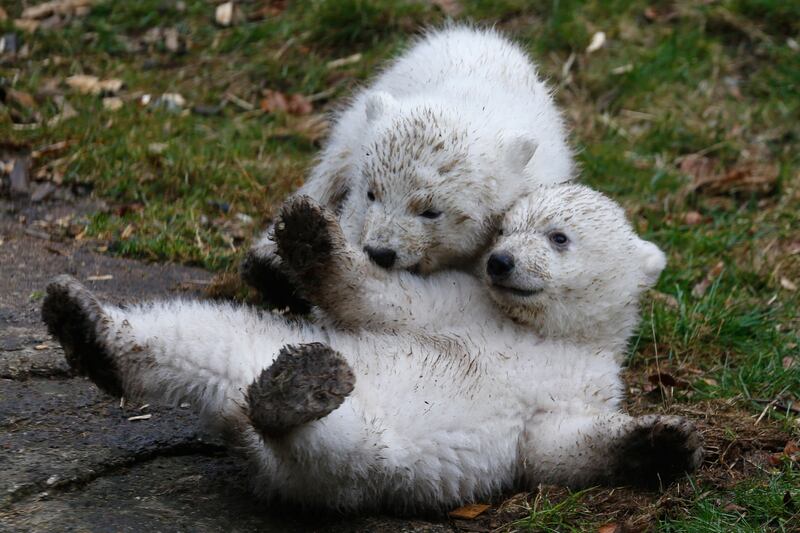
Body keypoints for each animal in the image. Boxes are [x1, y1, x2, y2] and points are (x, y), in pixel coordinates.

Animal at [41, 185, 701, 513]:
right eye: (503, 228)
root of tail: (233, 409)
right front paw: (309, 236)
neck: (541, 330)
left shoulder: (589, 380)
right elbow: (381, 300)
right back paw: (85, 325)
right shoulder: (459, 302)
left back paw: (290, 394)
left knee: (334, 448)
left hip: (364, 463)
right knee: (200, 332)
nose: (501, 261)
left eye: (558, 236)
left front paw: (664, 441)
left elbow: (554, 445)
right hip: (272, 347)